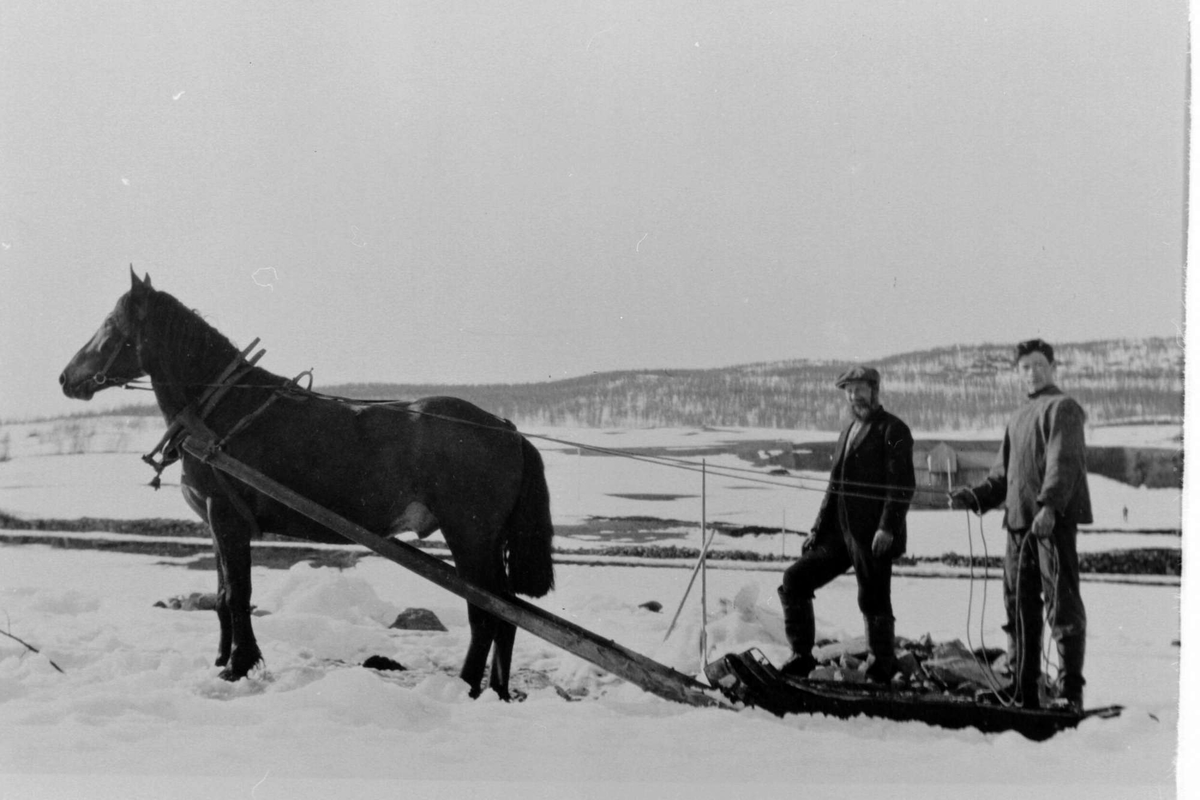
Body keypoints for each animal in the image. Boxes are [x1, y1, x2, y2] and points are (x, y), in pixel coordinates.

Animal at [58, 271, 554, 700]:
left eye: (110, 325)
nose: (65, 378)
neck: (216, 415)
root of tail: (507, 428)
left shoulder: (227, 517)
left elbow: (238, 594)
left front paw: (239, 664)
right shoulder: (215, 524)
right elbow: (221, 596)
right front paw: (222, 659)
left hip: (471, 535)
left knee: (489, 612)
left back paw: (467, 686)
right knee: (505, 611)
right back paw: (497, 688)